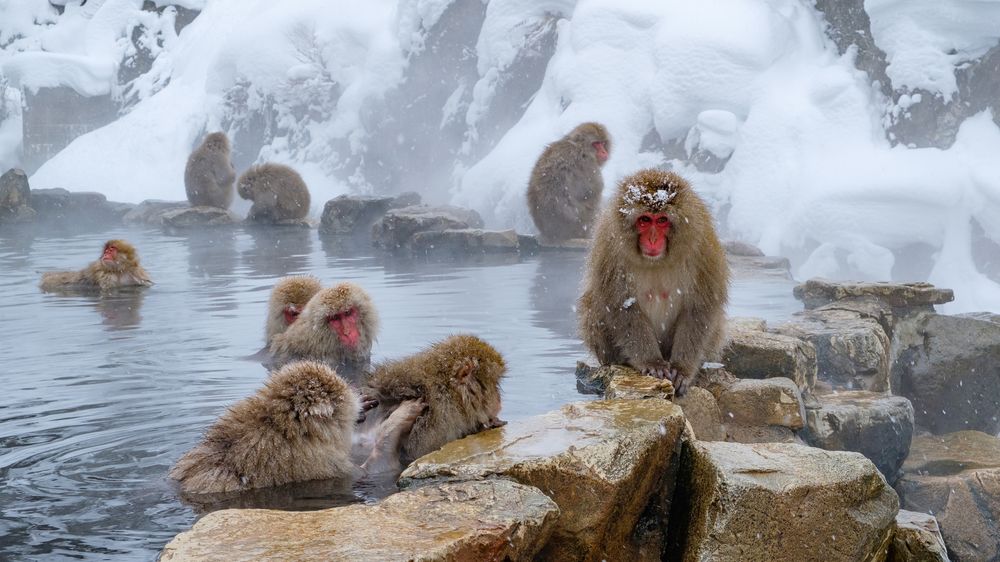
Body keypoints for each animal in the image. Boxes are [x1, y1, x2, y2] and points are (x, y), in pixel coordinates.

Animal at [577, 168, 729, 396]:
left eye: (662, 220)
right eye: (645, 220)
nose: (652, 239)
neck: (658, 260)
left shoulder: (703, 247)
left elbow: (699, 308)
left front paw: (682, 369)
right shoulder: (609, 248)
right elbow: (621, 307)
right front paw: (652, 362)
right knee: (593, 305)